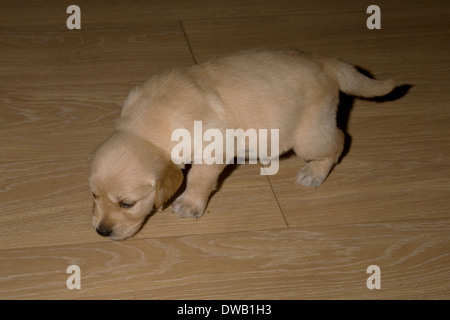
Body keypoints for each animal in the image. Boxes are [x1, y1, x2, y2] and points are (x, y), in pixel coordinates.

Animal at [88, 48, 394, 239]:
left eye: (127, 204)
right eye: (94, 195)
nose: (101, 231)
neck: (145, 128)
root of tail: (325, 62)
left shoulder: (212, 147)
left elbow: (198, 178)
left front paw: (189, 203)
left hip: (309, 136)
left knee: (340, 140)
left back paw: (314, 173)